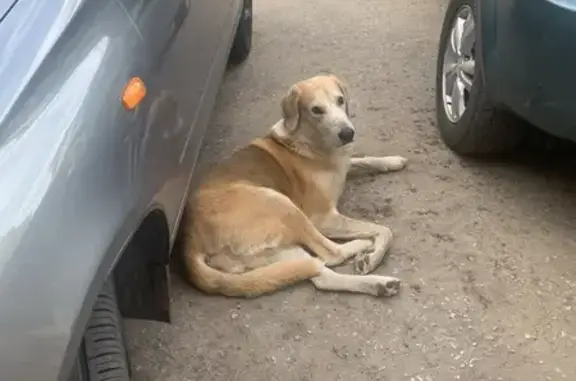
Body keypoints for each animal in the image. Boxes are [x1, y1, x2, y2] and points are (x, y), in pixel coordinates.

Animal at [183, 74, 404, 296]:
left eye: (340, 100)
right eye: (316, 110)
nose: (347, 133)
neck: (307, 141)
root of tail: (190, 241)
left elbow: (365, 160)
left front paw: (393, 161)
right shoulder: (323, 218)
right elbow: (384, 230)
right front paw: (373, 256)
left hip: (278, 253)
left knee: (321, 276)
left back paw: (380, 285)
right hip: (283, 205)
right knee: (331, 254)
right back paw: (363, 245)